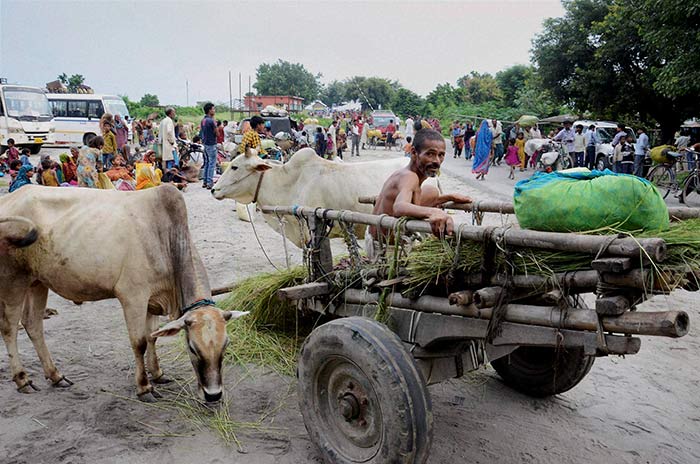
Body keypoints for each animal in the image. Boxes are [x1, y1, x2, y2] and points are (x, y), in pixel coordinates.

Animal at [0, 185, 247, 402]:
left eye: (226, 345)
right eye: (192, 348)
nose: (213, 395)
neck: (166, 238)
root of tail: (8, 199)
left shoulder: (152, 300)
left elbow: (152, 336)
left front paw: (158, 374)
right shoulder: (133, 297)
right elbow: (139, 342)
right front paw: (144, 387)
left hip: (37, 282)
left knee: (33, 324)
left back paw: (55, 375)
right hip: (13, 280)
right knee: (10, 327)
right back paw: (22, 379)